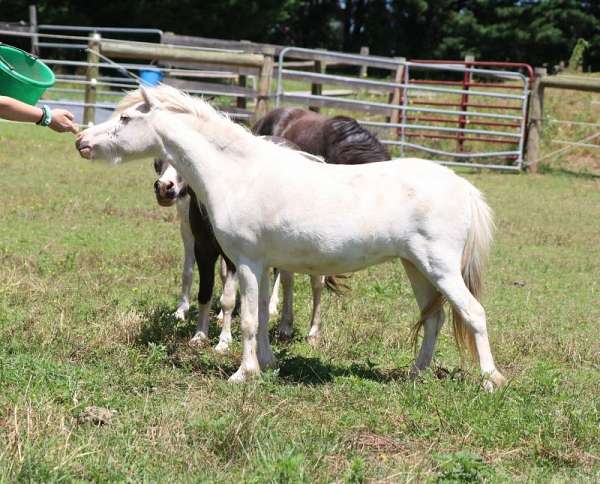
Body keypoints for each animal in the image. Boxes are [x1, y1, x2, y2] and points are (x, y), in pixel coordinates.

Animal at [75, 86, 506, 390]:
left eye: (125, 117)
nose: (82, 141)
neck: (239, 173)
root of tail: (462, 186)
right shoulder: (263, 265)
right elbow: (265, 315)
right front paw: (267, 363)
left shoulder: (246, 263)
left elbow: (249, 319)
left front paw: (243, 373)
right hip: (416, 268)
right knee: (433, 319)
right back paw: (415, 374)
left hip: (440, 268)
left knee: (474, 314)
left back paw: (490, 380)